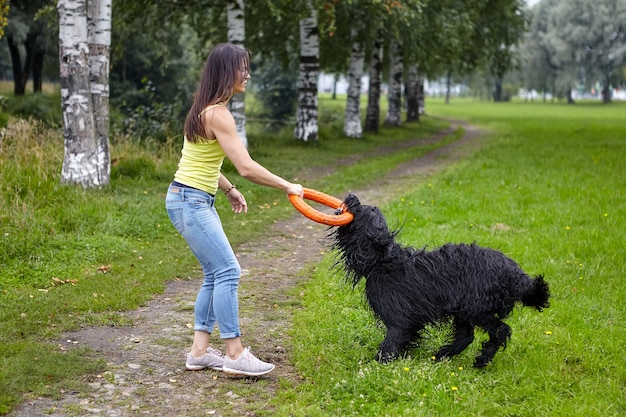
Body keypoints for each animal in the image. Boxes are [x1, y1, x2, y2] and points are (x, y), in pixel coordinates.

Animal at [330, 193, 548, 366]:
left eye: (363, 209)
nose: (352, 196)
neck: (384, 260)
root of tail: (521, 279)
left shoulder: (399, 319)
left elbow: (391, 342)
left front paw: (376, 365)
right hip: (463, 310)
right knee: (467, 336)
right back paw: (442, 354)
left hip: (476, 309)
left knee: (501, 330)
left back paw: (482, 360)